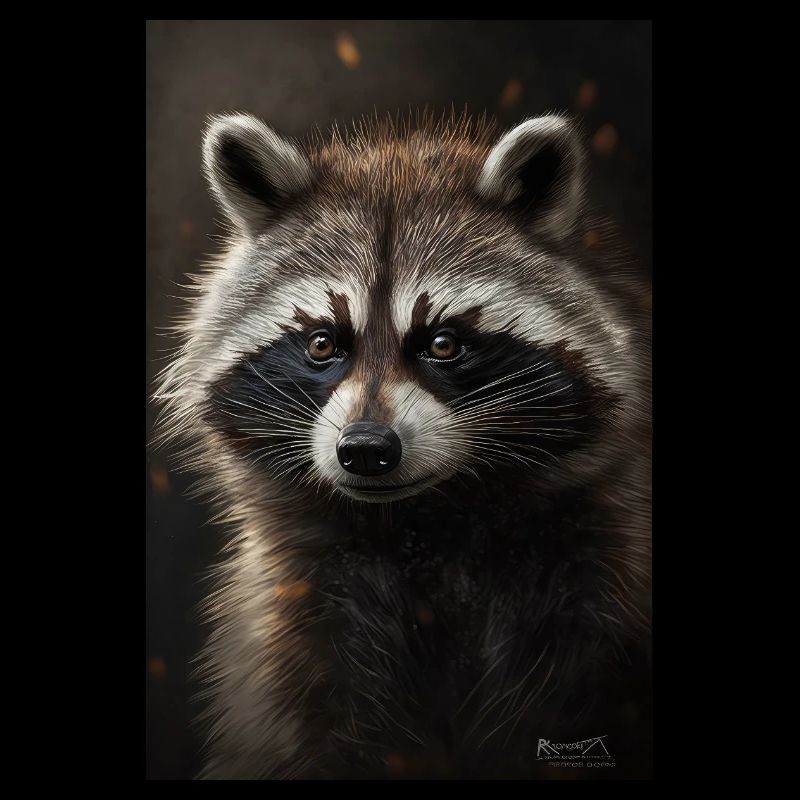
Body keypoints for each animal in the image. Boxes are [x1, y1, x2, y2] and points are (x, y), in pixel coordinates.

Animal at [153, 110, 651, 780]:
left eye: (443, 343)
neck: (426, 522)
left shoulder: (592, 591)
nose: (366, 448)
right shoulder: (300, 619)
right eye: (322, 343)